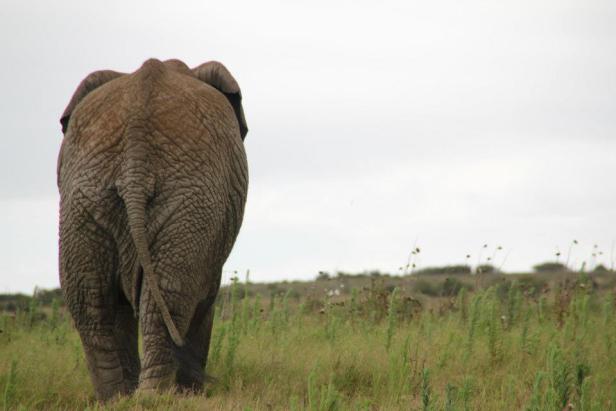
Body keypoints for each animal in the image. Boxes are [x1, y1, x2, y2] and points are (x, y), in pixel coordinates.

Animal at [57, 56, 249, 400]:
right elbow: (205, 294)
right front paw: (191, 395)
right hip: (189, 199)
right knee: (172, 293)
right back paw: (152, 397)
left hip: (86, 198)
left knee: (91, 299)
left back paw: (119, 399)